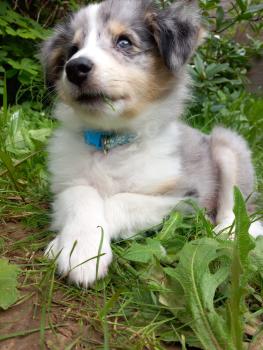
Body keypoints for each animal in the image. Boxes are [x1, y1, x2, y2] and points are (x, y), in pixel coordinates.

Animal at [41, 0, 263, 288]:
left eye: (124, 42)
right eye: (72, 50)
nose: (75, 67)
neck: (111, 142)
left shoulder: (183, 196)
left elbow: (121, 201)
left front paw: (83, 254)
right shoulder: (65, 185)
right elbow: (83, 194)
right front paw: (76, 245)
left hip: (228, 145)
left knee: (236, 210)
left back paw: (226, 234)